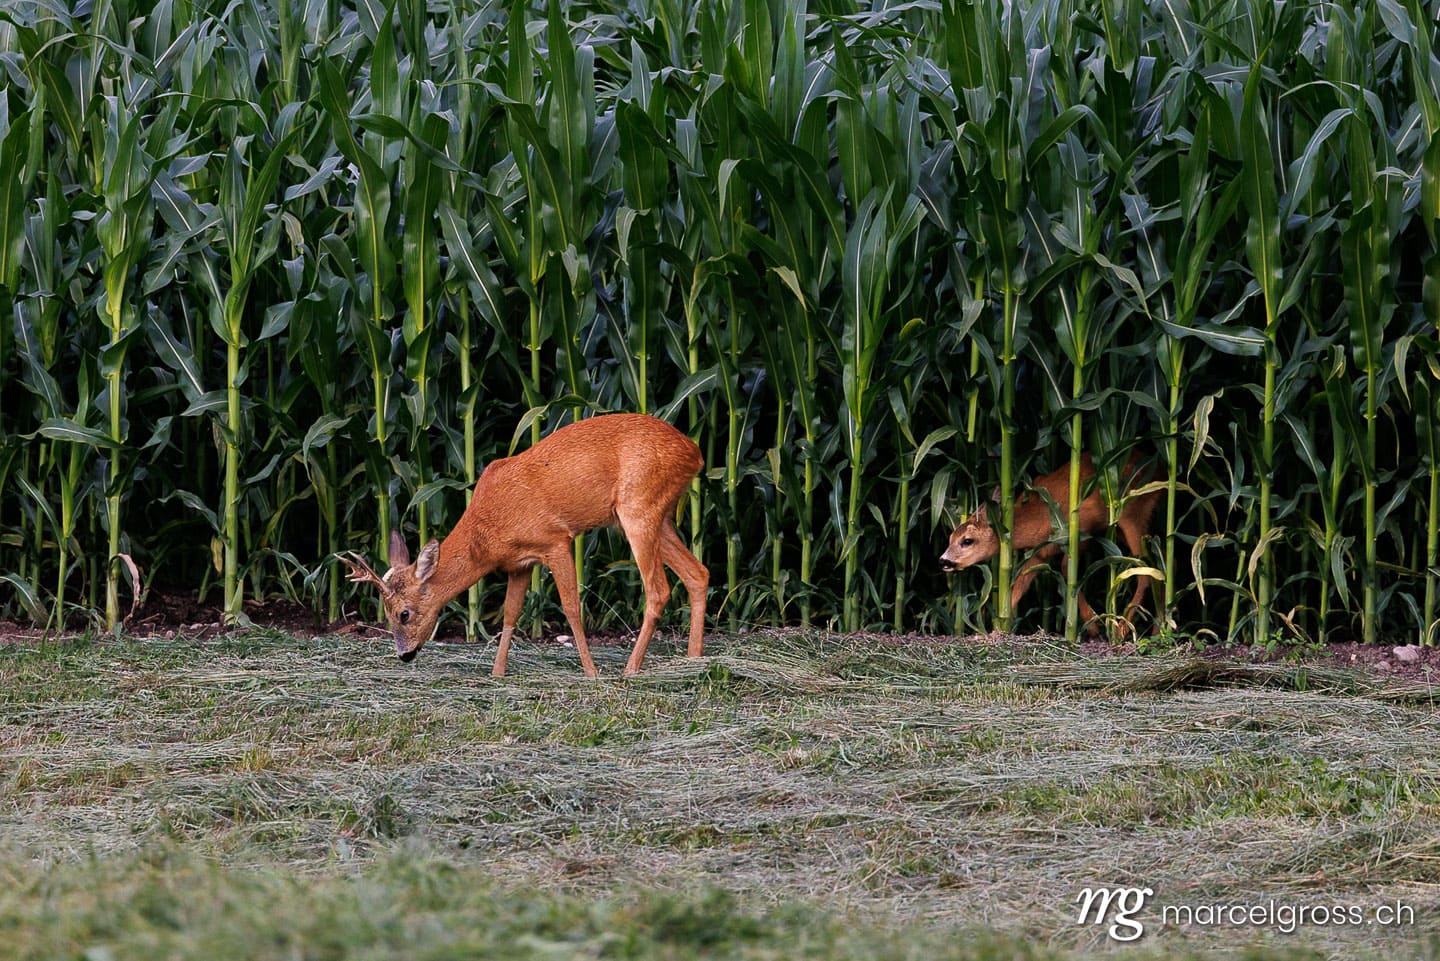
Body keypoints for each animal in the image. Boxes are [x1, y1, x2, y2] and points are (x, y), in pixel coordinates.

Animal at [339, 413, 709, 677]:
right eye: (386, 613)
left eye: (404, 613)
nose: (404, 654)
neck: (487, 533)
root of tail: (696, 453)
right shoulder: (519, 563)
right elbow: (509, 614)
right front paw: (497, 673)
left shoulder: (556, 540)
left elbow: (571, 607)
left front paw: (591, 672)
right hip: (654, 515)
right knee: (698, 573)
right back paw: (693, 659)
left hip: (639, 508)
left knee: (659, 588)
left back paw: (631, 669)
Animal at [940, 451, 1161, 638]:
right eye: (950, 537)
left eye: (967, 540)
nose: (943, 560)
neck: (1039, 517)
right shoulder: (1038, 553)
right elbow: (1017, 587)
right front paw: (996, 629)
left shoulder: (1082, 529)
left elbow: (1065, 568)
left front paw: (1093, 624)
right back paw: (1156, 629)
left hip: (1132, 512)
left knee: (1145, 567)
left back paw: (1122, 629)